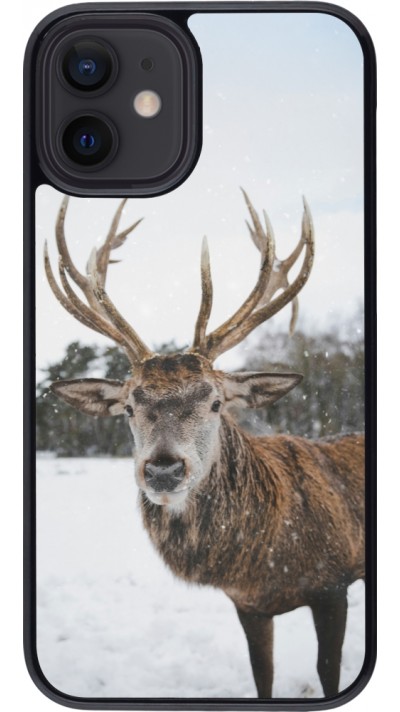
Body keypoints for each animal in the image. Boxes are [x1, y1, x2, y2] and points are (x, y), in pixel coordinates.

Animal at [44, 191, 364, 699]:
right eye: (129, 407)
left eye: (215, 402)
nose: (163, 469)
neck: (265, 561)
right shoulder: (248, 605)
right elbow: (262, 676)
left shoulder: (334, 584)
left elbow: (328, 672)